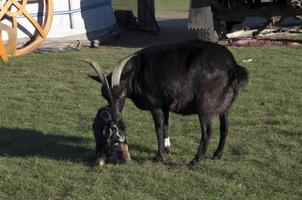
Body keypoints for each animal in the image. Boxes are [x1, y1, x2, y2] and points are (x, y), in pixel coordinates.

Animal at [83, 39, 248, 166]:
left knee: (207, 131)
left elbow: (158, 129)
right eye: (104, 95)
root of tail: (234, 67)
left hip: (205, 106)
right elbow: (166, 126)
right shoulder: (165, 105)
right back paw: (217, 154)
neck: (137, 73)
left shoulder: (156, 106)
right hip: (226, 106)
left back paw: (195, 161)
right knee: (225, 127)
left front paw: (159, 156)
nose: (115, 119)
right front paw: (167, 149)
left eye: (121, 93)